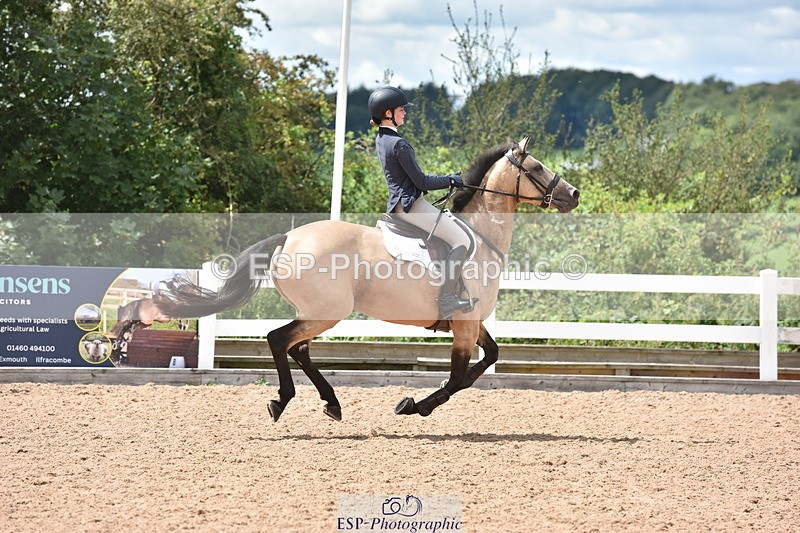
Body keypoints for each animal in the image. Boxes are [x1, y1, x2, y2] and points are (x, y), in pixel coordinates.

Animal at [155, 137, 580, 421]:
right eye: (537, 168)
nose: (574, 194)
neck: (482, 236)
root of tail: (289, 237)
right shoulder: (463, 323)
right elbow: (460, 377)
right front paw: (414, 406)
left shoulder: (472, 322)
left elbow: (488, 358)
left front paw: (418, 405)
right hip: (327, 310)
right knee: (280, 340)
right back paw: (282, 400)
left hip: (316, 311)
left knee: (298, 348)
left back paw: (331, 403)